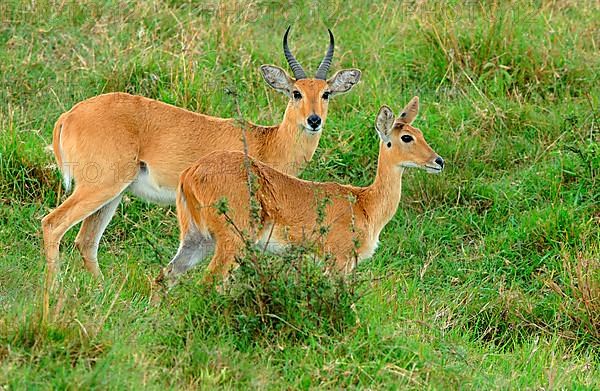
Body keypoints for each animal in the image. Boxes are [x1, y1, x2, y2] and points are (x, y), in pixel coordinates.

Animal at [42, 26, 360, 310]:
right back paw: (53, 294)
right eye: (296, 92)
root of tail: (69, 116)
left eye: (326, 93)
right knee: (53, 224)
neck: (266, 142)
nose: (314, 120)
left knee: (85, 242)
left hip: (113, 194)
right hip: (101, 187)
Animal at [157, 98, 442, 288]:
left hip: (197, 238)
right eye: (406, 137)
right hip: (231, 241)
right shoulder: (338, 261)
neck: (365, 203)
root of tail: (190, 174)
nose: (438, 161)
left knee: (166, 275)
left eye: (419, 132)